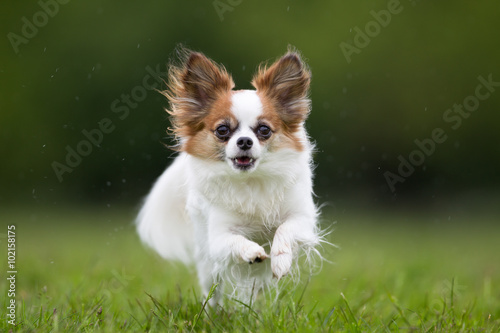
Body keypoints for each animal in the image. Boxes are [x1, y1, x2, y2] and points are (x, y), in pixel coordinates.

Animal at [137, 48, 320, 302]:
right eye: (222, 130)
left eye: (264, 130)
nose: (244, 141)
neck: (251, 181)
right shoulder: (218, 238)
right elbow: (235, 240)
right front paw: (252, 250)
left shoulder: (303, 219)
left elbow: (285, 230)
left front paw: (281, 260)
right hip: (207, 266)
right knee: (212, 292)